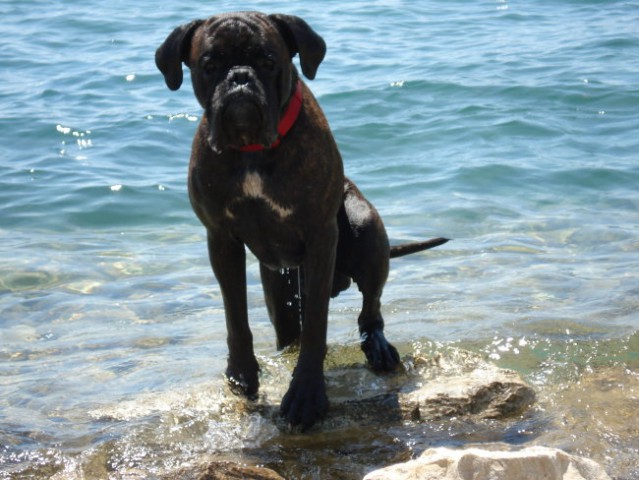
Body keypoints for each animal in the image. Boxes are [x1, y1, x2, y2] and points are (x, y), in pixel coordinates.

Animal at [156, 12, 448, 432]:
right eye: (209, 65)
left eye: (268, 61)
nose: (240, 78)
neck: (251, 149)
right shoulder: (221, 240)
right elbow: (235, 317)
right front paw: (241, 374)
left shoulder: (321, 236)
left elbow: (316, 329)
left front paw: (307, 394)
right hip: (280, 289)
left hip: (364, 229)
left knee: (371, 309)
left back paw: (378, 347)